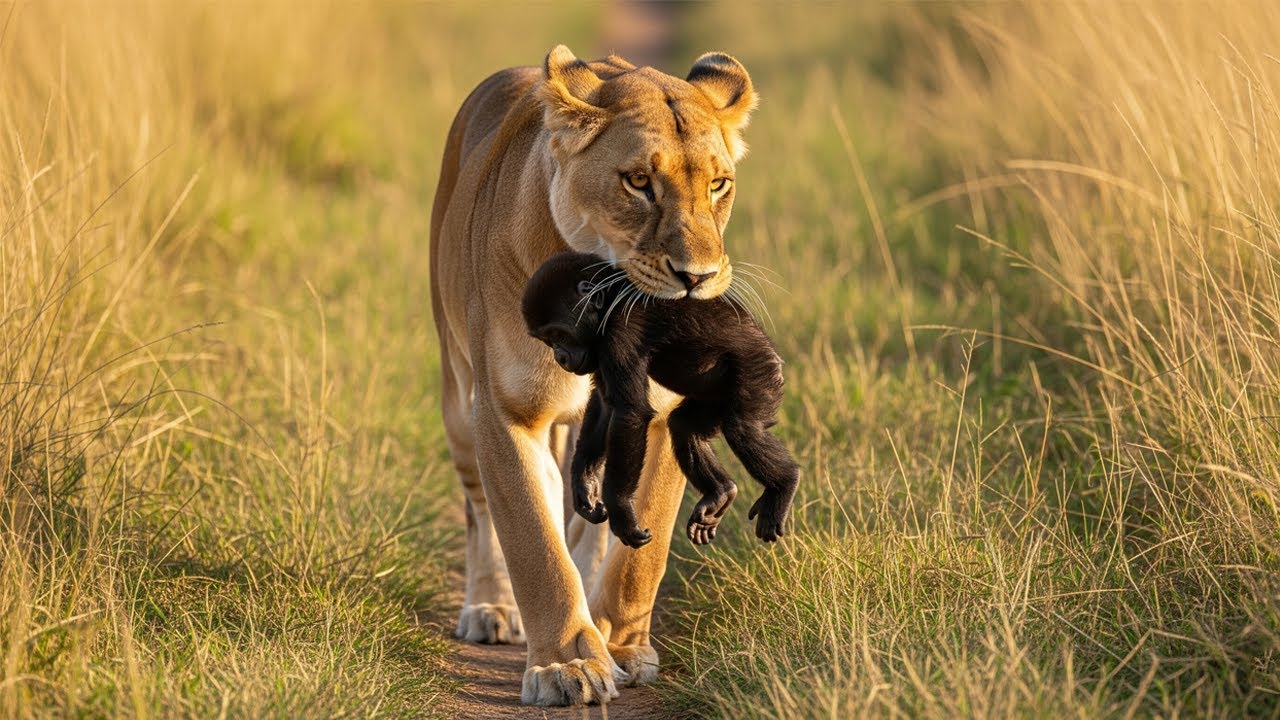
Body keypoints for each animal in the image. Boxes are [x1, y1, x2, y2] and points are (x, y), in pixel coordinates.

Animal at [429, 45, 756, 706]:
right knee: (481, 513)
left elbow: (640, 555)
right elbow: (533, 541)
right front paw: (567, 664)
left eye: (718, 183)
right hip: (457, 400)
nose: (699, 276)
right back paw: (490, 608)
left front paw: (620, 645)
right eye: (639, 182)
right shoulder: (504, 412)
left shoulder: (660, 411)